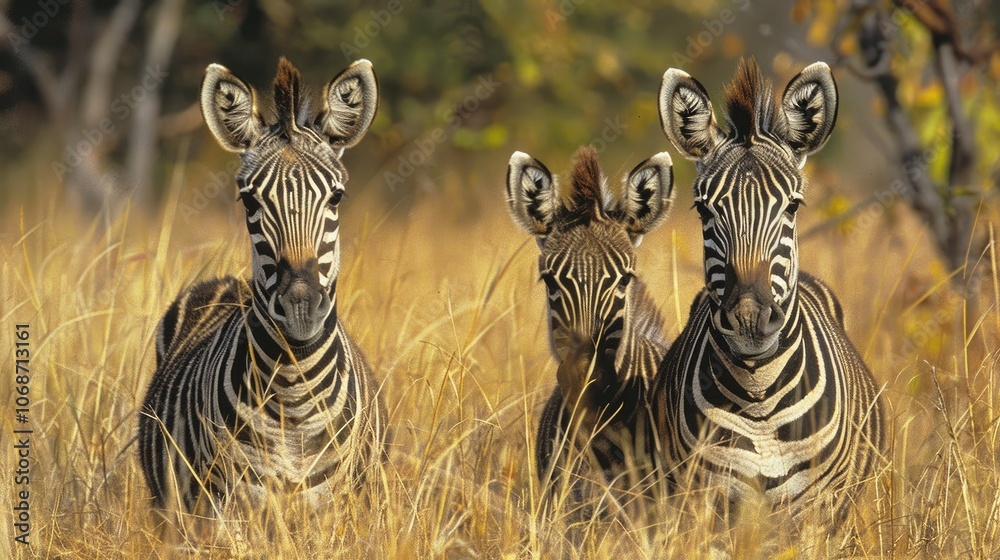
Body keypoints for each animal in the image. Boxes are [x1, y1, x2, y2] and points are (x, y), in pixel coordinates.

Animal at [138, 58, 385, 519]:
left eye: (337, 197)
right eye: (250, 201)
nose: (301, 309)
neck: (293, 394)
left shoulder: (334, 510)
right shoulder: (226, 507)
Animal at [652, 58, 885, 523]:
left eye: (793, 205)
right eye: (702, 209)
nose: (748, 320)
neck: (758, 400)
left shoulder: (819, 510)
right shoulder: (708, 504)